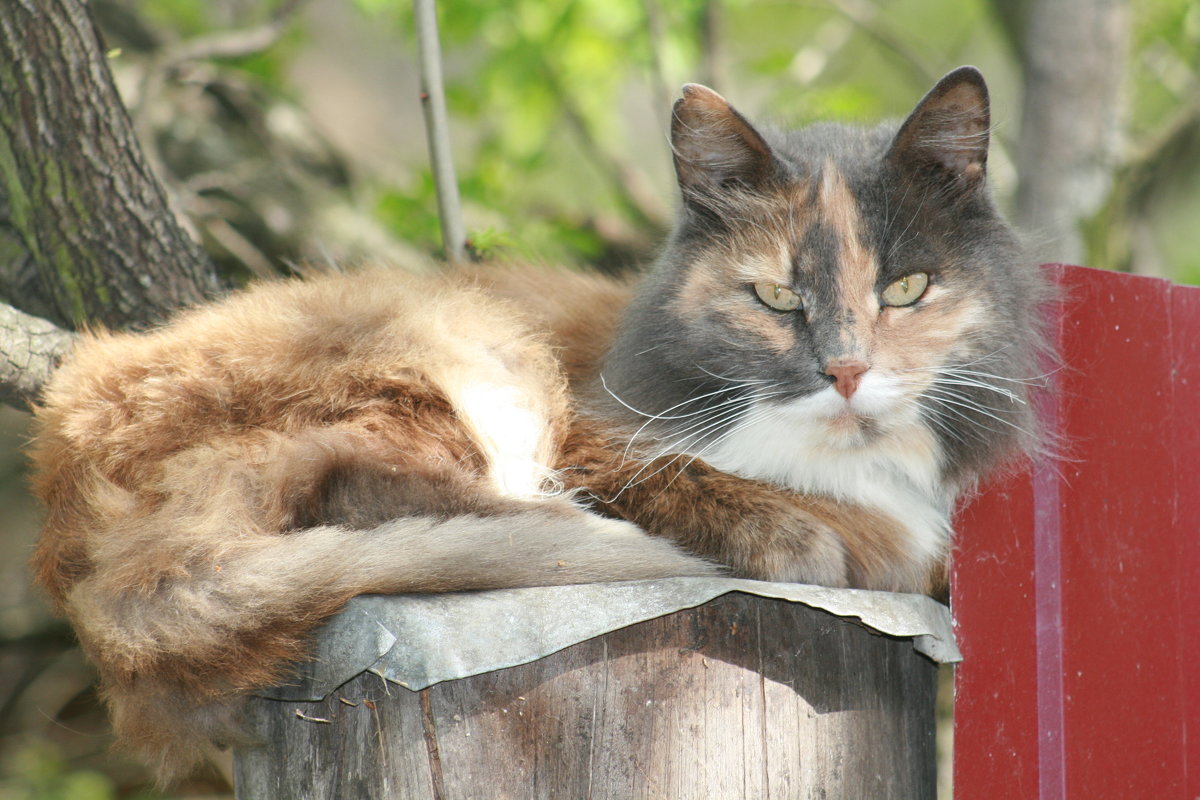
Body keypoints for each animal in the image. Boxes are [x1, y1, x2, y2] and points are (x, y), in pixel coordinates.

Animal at [25, 67, 1041, 782]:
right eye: (777, 298)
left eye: (905, 289)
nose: (847, 370)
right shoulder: (598, 434)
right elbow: (703, 485)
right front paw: (801, 532)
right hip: (461, 351)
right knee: (377, 488)